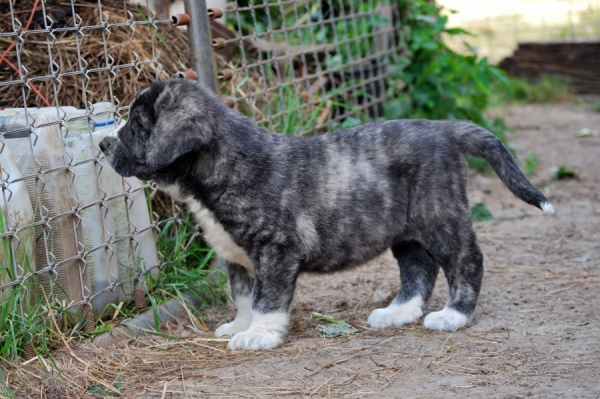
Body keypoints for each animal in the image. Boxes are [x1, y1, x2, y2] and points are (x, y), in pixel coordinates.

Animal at [98, 79, 552, 352]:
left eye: (137, 125)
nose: (103, 144)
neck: (218, 166)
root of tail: (445, 128)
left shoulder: (276, 249)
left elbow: (266, 299)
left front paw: (259, 335)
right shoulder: (239, 259)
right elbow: (243, 297)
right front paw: (240, 326)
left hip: (439, 216)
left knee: (465, 260)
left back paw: (453, 316)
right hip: (405, 231)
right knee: (419, 269)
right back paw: (397, 312)